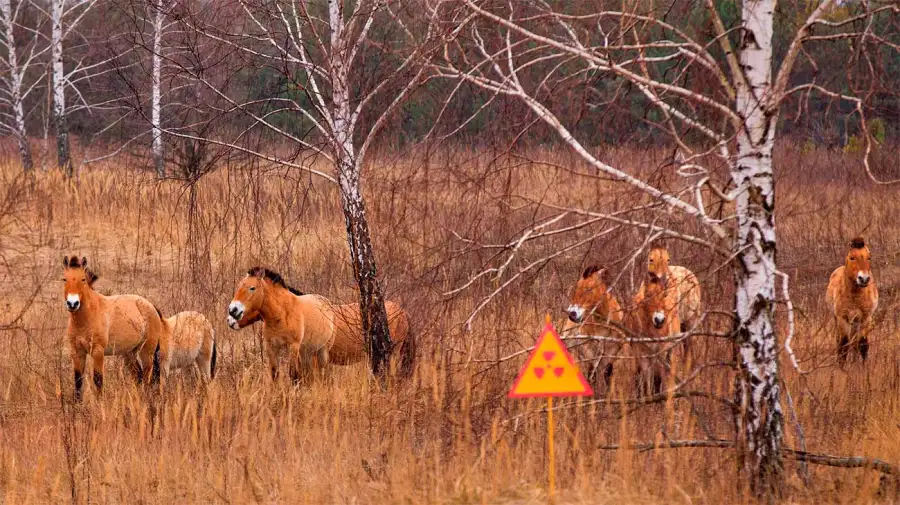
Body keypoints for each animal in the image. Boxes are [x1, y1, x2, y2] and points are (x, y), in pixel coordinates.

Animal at [63, 256, 164, 401]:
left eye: (83, 279)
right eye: (64, 279)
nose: (72, 303)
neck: (86, 318)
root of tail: (151, 306)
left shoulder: (97, 352)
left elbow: (98, 379)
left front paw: (100, 403)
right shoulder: (77, 352)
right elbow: (78, 381)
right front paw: (77, 405)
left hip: (147, 352)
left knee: (147, 377)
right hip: (129, 353)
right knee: (138, 376)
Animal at [564, 265, 625, 395]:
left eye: (589, 289)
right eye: (576, 288)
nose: (572, 315)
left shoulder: (612, 351)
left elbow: (607, 374)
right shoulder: (589, 349)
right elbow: (592, 373)